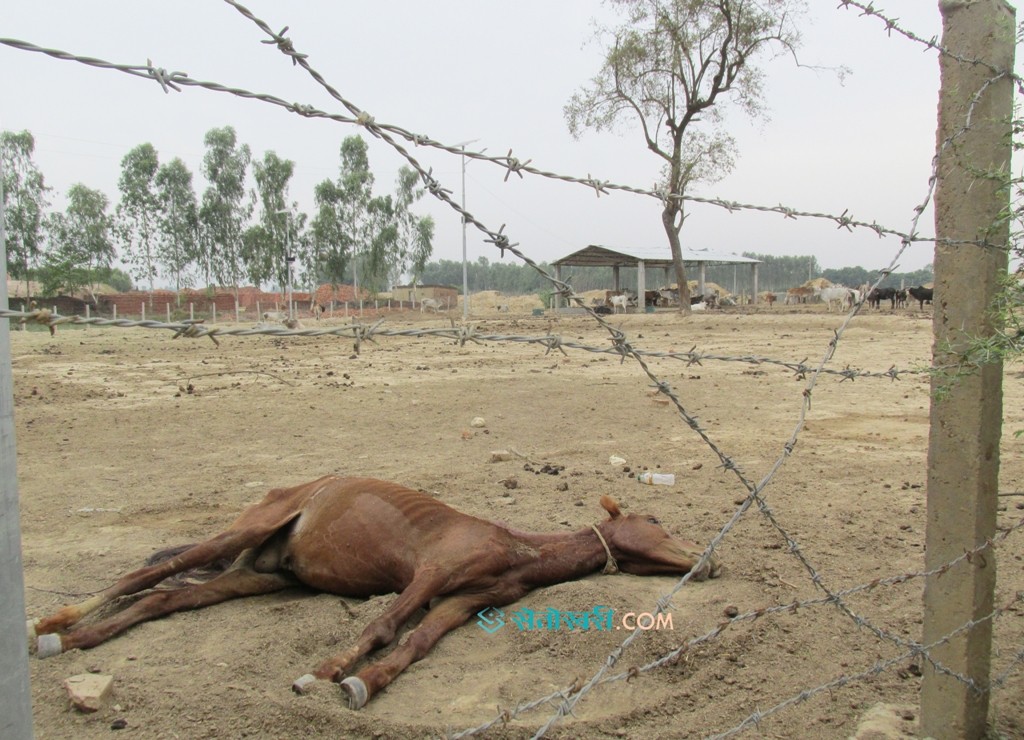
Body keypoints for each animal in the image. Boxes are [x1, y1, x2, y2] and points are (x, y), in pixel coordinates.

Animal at [29, 474, 720, 712]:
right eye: (656, 519)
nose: (707, 561)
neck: (514, 547)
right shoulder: (430, 575)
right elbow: (381, 627)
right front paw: (322, 674)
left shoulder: (463, 602)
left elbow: (415, 644)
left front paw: (365, 684)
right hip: (245, 532)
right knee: (146, 576)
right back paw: (51, 627)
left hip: (258, 574)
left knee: (163, 600)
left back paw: (80, 639)